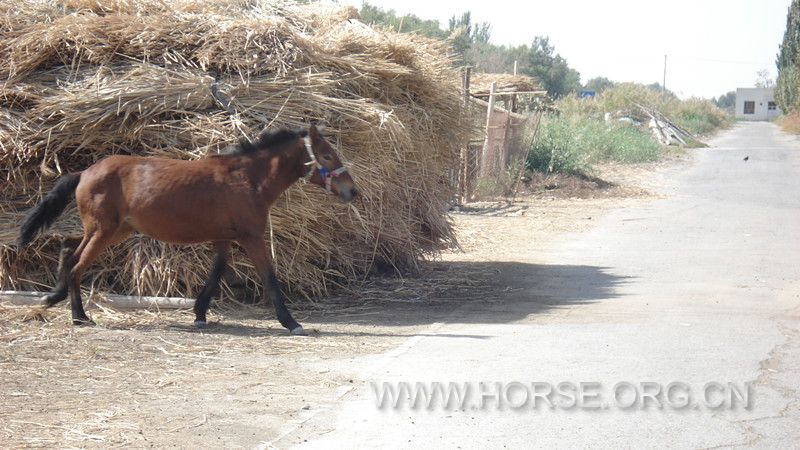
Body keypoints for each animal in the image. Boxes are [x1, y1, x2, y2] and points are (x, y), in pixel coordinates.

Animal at [18, 125, 356, 336]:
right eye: (327, 155)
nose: (352, 191)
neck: (247, 178)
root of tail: (85, 172)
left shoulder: (225, 238)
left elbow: (217, 274)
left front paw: (199, 314)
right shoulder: (251, 237)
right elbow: (269, 278)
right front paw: (291, 322)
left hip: (111, 230)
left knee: (68, 247)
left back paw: (55, 297)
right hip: (103, 231)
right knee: (77, 264)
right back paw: (79, 316)